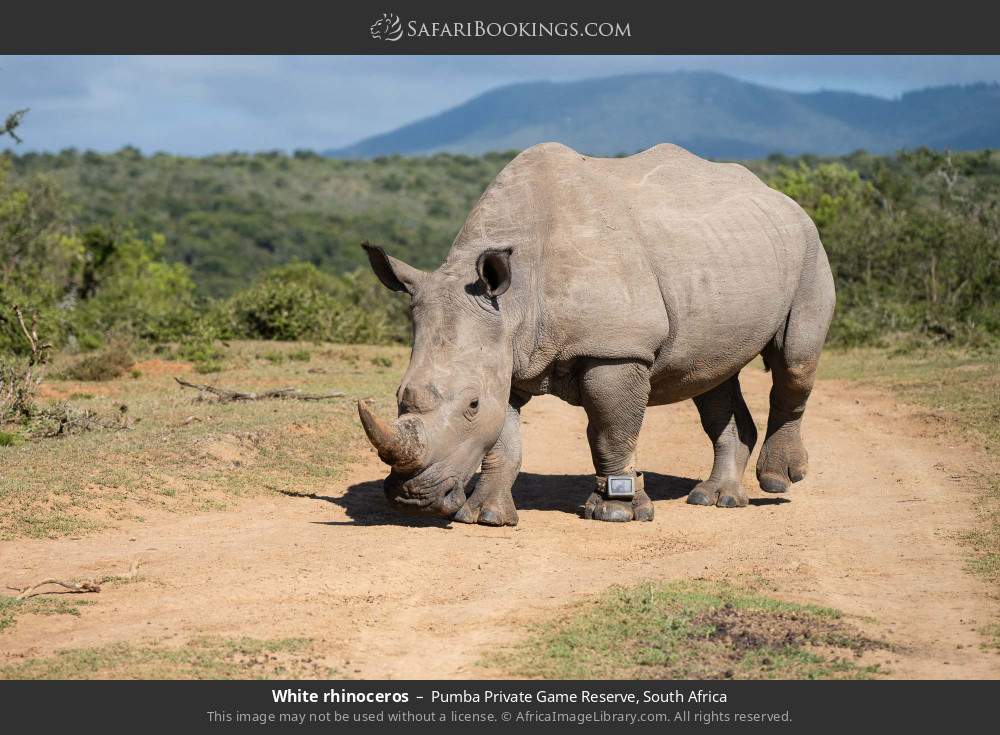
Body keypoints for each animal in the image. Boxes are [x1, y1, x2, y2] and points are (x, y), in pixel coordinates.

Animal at [357, 142, 835, 525]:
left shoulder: (616, 349)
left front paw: (615, 512)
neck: (513, 302)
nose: (411, 499)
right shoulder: (505, 354)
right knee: (712, 377)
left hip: (808, 245)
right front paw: (484, 516)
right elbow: (504, 439)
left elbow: (611, 430)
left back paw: (777, 481)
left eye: (470, 405)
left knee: (793, 361)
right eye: (398, 395)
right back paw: (715, 499)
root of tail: (779, 196)